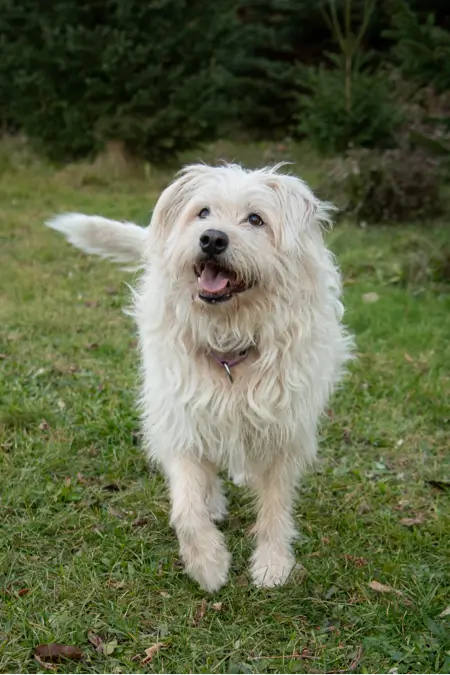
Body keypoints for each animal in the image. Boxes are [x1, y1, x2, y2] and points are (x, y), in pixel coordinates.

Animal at [47, 164, 354, 592]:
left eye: (255, 219)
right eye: (203, 212)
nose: (212, 238)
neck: (229, 339)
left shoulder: (284, 432)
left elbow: (276, 505)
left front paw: (272, 563)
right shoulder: (181, 417)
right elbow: (187, 504)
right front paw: (208, 562)